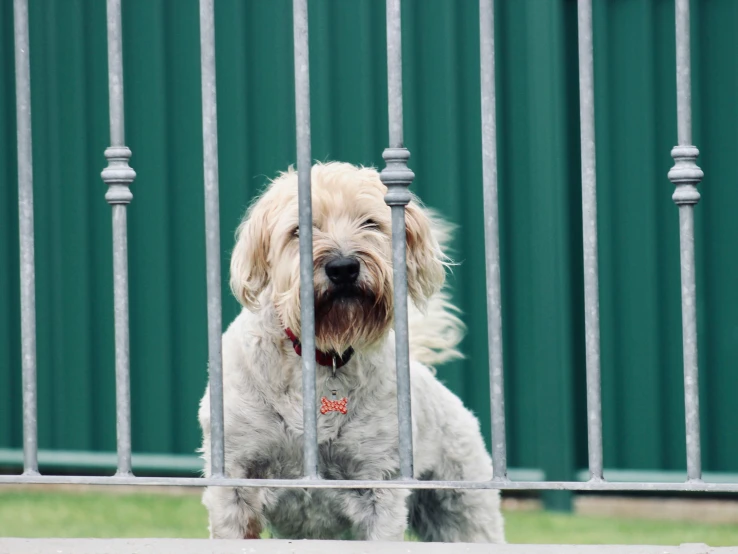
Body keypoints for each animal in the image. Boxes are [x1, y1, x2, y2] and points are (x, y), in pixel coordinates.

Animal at [198, 160, 504, 540]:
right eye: (299, 229)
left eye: (370, 222)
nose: (343, 268)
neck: (323, 354)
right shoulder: (234, 479)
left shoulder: (380, 485)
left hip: (463, 509)